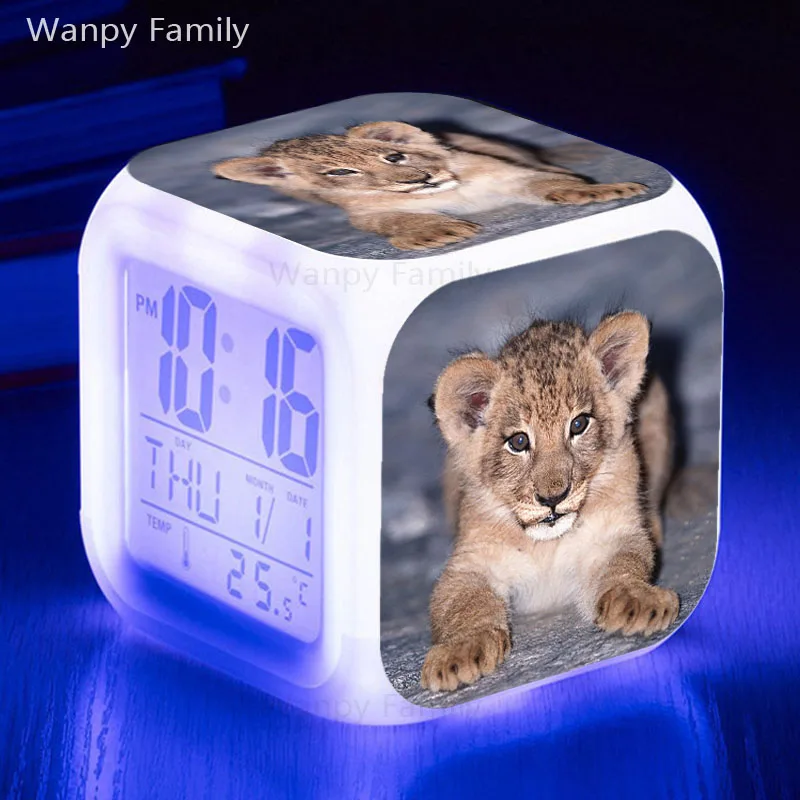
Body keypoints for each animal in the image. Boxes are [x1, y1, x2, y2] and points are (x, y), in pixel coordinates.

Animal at [212, 121, 648, 251]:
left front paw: (600, 191)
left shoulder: (509, 174)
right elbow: (396, 222)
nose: (423, 179)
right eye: (339, 173)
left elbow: (546, 180)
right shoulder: (369, 214)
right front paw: (436, 232)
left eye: (394, 156)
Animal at [420, 311, 679, 692]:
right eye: (518, 442)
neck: (546, 545)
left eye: (579, 424)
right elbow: (462, 604)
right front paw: (460, 653)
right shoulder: (470, 562)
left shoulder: (610, 536)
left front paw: (636, 600)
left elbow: (624, 563)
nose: (553, 498)